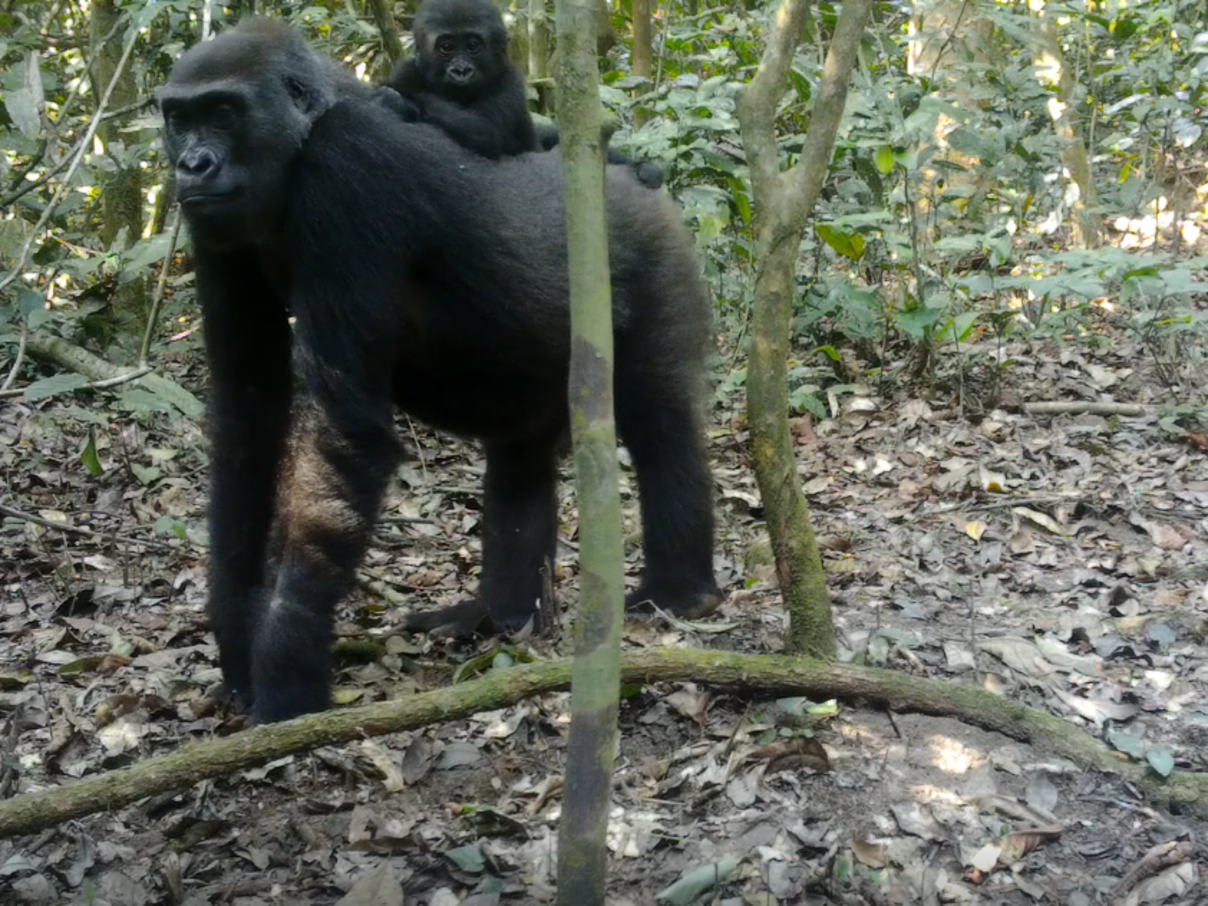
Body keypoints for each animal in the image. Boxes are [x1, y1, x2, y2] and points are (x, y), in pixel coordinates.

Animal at [158, 19, 715, 724]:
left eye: (226, 112)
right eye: (180, 119)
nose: (192, 164)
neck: (303, 138)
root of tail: (640, 185)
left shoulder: (350, 164)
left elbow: (343, 432)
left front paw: (288, 666)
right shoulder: (214, 225)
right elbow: (248, 411)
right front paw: (235, 634)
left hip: (657, 250)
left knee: (660, 424)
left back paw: (679, 591)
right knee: (521, 458)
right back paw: (500, 614)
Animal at [381, 0, 661, 188]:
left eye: (472, 46)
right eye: (446, 47)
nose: (461, 71)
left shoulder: (511, 80)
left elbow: (485, 131)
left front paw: (396, 98)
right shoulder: (407, 68)